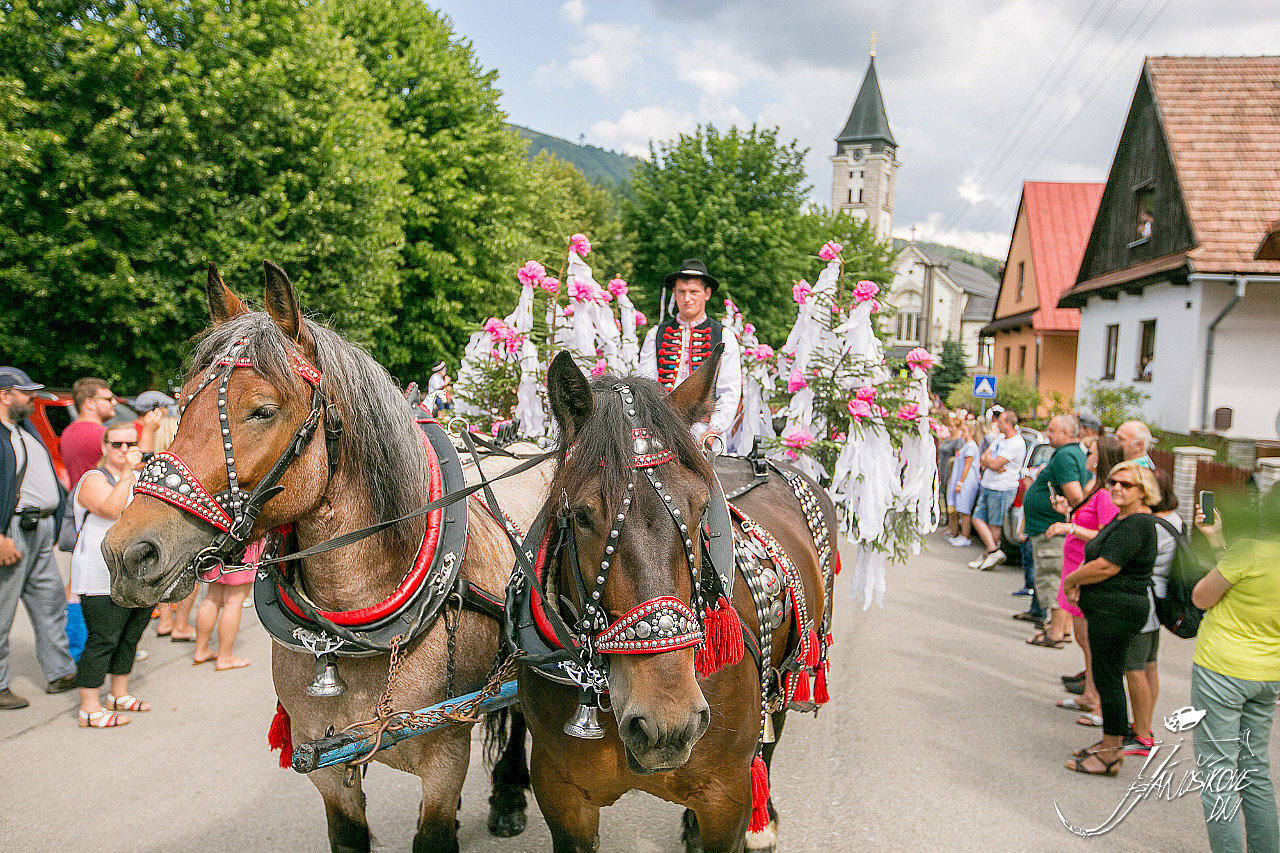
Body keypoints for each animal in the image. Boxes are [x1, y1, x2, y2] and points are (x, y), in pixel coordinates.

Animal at [103, 262, 548, 853]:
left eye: (262, 410)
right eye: (182, 401)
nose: (128, 554)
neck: (351, 624)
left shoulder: (444, 755)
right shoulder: (327, 765)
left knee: (520, 710)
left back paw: (508, 797)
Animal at [511, 347, 838, 853]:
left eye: (702, 508)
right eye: (582, 516)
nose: (669, 720)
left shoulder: (726, 799)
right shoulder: (562, 796)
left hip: (787, 676)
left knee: (771, 738)